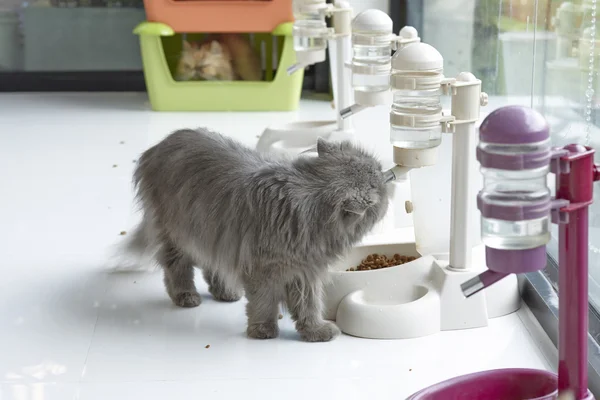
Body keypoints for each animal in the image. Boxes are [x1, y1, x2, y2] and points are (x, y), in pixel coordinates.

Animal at [127, 128, 390, 340]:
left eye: (376, 170)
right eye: (377, 181)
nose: (387, 173)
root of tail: (163, 143)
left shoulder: (305, 271)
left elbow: (309, 305)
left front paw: (314, 331)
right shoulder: (263, 269)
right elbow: (264, 302)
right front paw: (263, 330)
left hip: (213, 234)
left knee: (212, 265)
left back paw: (225, 292)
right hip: (176, 233)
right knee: (176, 268)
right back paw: (186, 296)